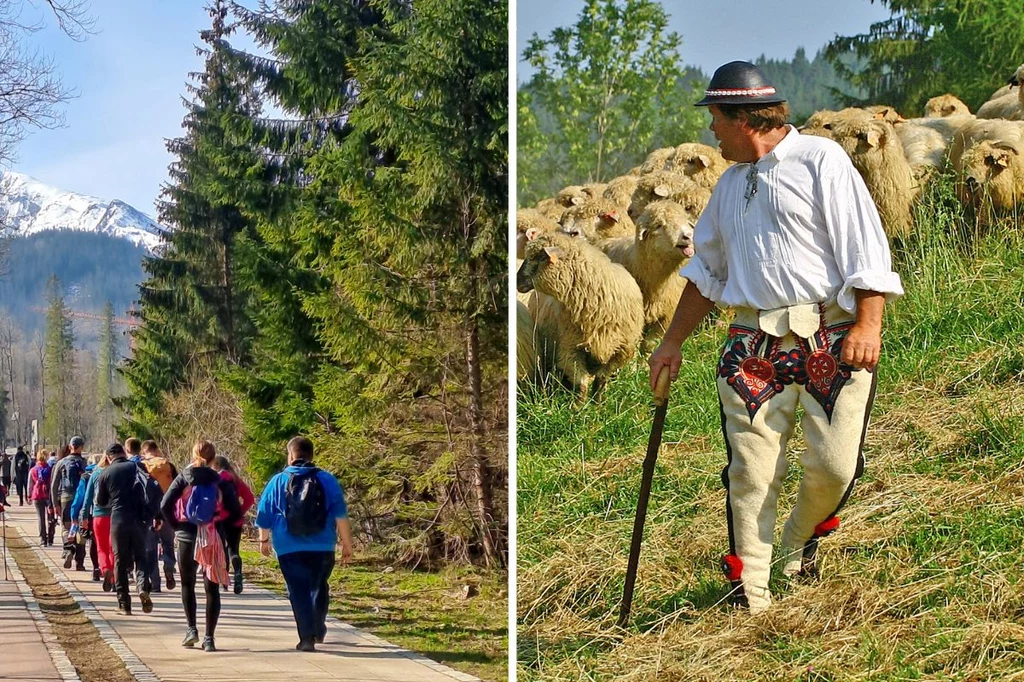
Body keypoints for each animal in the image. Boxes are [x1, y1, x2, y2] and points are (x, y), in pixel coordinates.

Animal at [516, 229, 643, 399]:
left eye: (542, 257)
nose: (517, 281)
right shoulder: (570, 349)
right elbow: (581, 385)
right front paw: (578, 406)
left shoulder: (619, 353)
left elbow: (600, 383)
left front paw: (598, 404)